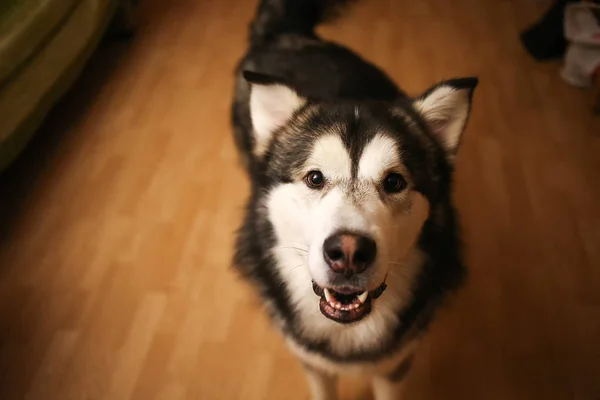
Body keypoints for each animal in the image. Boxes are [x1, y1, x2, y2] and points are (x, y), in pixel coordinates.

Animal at [230, 1, 478, 398]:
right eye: (315, 178)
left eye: (394, 182)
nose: (348, 253)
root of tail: (286, 32)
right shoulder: (312, 362)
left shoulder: (396, 365)